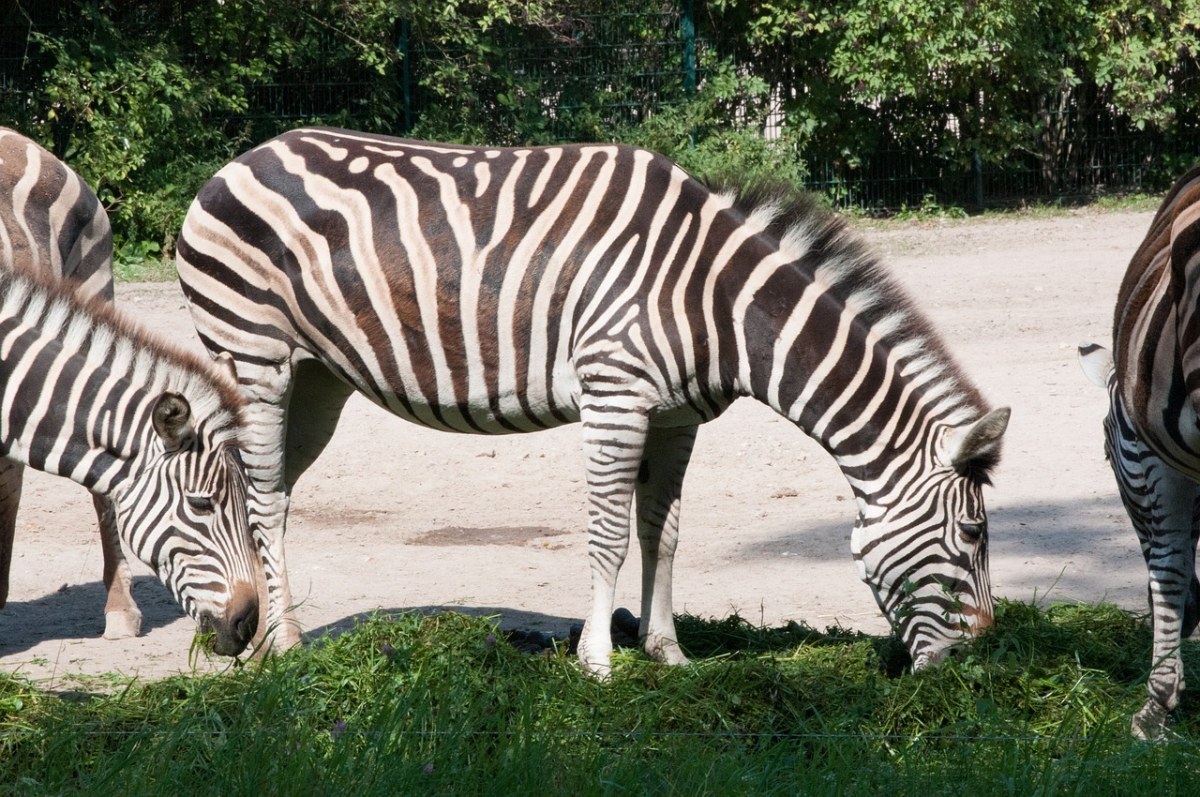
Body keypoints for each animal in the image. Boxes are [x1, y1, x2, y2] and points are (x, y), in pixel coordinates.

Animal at [174, 126, 1008, 672]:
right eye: (973, 535)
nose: (978, 654)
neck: (716, 301)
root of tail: (238, 161)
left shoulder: (675, 418)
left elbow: (663, 532)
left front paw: (669, 651)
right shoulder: (616, 395)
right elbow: (607, 534)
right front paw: (598, 660)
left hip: (317, 378)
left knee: (271, 492)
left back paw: (268, 633)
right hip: (253, 355)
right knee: (255, 492)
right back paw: (281, 650)